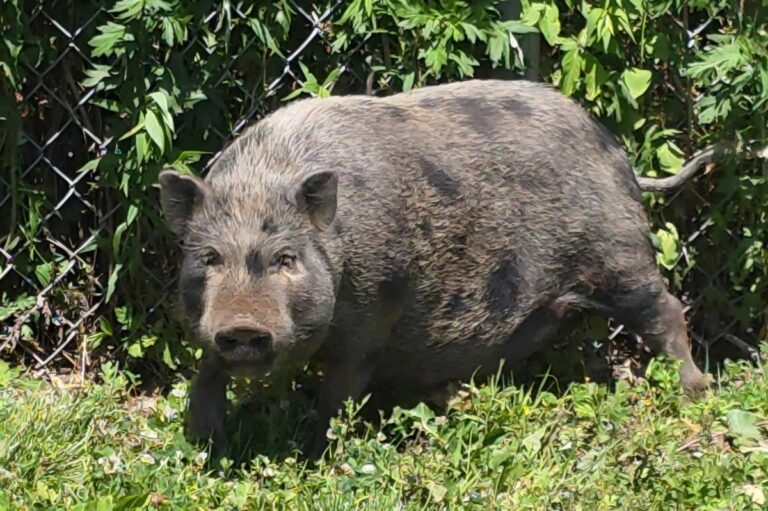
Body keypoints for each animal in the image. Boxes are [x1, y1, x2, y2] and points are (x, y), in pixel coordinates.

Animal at [158, 79, 710, 455]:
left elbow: (338, 395)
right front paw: (200, 443)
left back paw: (694, 394)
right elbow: (207, 374)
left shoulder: (372, 316)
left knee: (666, 309)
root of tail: (616, 151)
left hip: (619, 255)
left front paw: (316, 454)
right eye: (209, 258)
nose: (243, 326)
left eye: (285, 259)